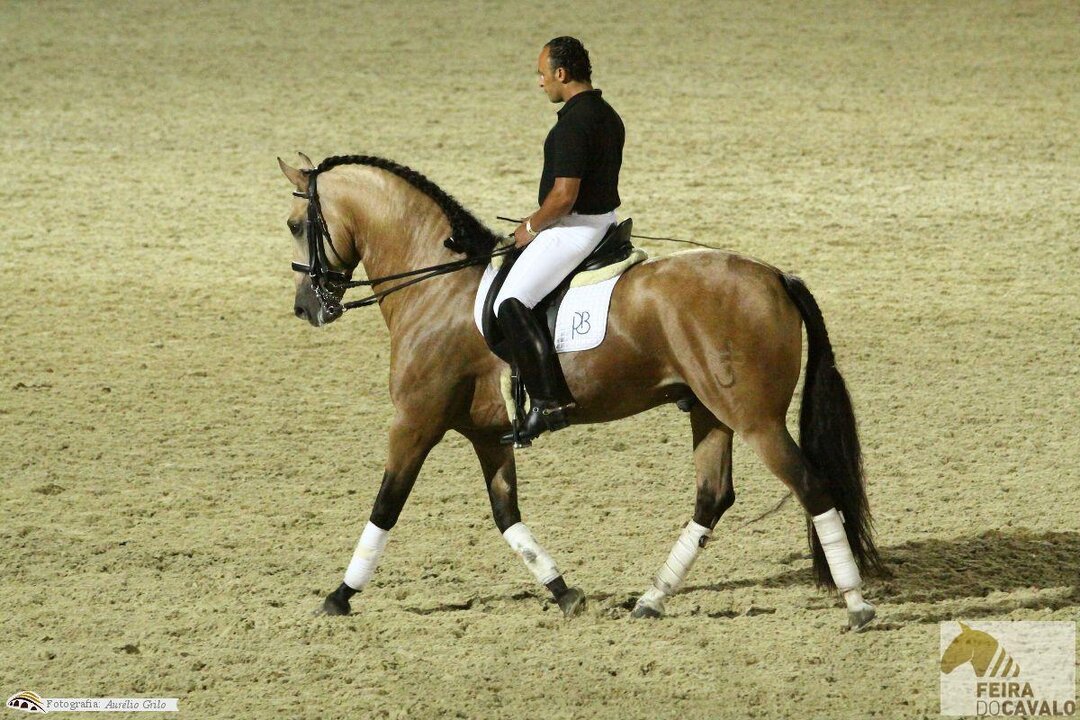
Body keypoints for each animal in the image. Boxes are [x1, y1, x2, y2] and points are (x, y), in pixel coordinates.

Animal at [278, 153, 883, 630]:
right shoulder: (488, 434)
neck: (437, 287)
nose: (307, 308)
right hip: (709, 412)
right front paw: (564, 592)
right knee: (713, 497)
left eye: (293, 224)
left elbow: (386, 505)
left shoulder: (414, 421)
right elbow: (506, 515)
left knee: (811, 485)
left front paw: (339, 596)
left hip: (755, 419)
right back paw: (651, 599)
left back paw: (855, 604)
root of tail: (775, 275)